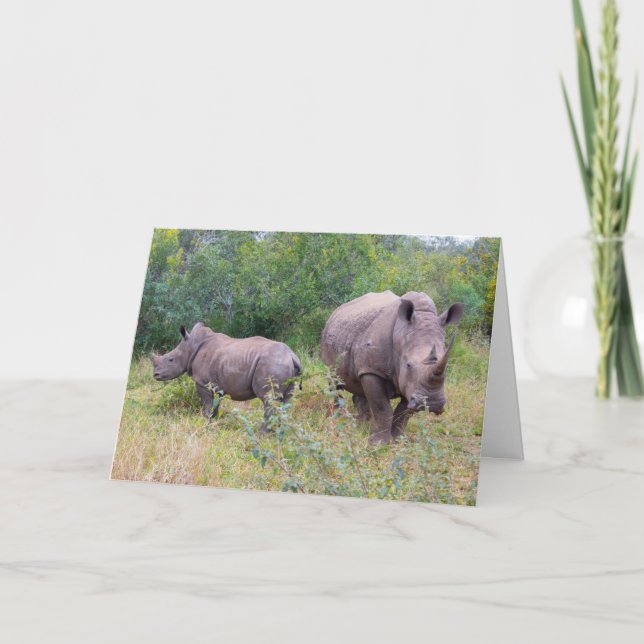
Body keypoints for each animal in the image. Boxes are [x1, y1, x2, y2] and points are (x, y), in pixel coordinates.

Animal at [153, 322, 302, 431]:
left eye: (170, 359)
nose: (155, 375)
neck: (191, 346)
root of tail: (291, 356)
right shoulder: (217, 384)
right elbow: (215, 406)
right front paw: (214, 422)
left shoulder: (202, 383)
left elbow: (207, 406)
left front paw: (206, 425)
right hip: (283, 365)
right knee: (286, 400)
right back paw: (280, 432)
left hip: (272, 364)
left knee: (268, 400)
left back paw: (262, 434)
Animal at [320, 291, 463, 443]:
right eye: (408, 365)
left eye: (447, 367)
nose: (432, 403)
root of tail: (336, 311)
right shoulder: (373, 370)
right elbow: (382, 407)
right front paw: (379, 443)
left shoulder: (410, 384)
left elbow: (403, 412)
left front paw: (399, 440)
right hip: (330, 339)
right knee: (334, 381)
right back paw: (336, 417)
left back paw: (362, 422)